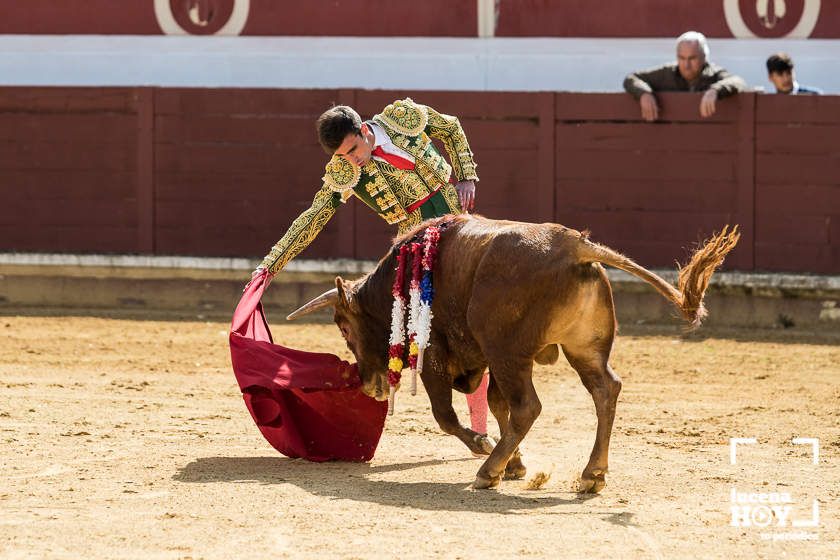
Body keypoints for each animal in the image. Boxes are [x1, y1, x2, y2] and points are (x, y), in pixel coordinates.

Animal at [292, 213, 740, 490]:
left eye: (344, 327)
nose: (370, 387)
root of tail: (577, 247)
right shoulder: (487, 360)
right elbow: (495, 404)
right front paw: (517, 464)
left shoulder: (440, 355)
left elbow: (447, 415)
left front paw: (486, 447)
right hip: (580, 350)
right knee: (604, 390)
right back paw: (592, 475)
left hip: (510, 353)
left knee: (529, 406)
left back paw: (486, 472)